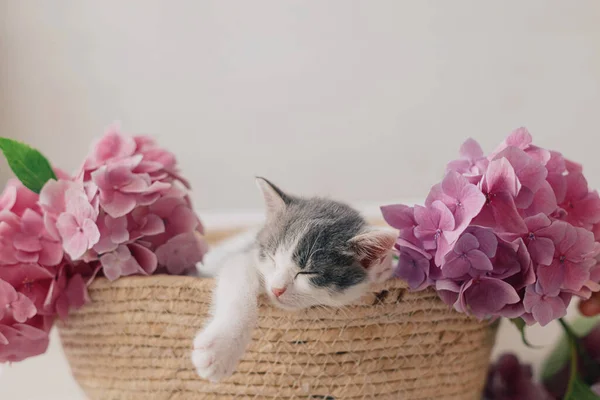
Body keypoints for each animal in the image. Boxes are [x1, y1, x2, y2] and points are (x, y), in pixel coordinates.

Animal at [192, 177, 398, 382]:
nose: (276, 289)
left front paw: (383, 267)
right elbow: (238, 280)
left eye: (307, 272)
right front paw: (221, 349)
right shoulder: (244, 257)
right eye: (272, 257)